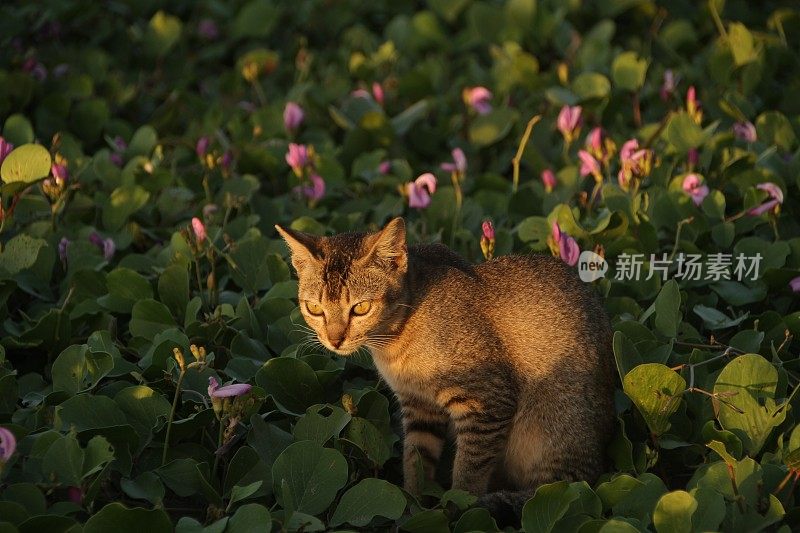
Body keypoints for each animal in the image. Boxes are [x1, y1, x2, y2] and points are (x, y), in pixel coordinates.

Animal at [276, 217, 612, 524]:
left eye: (360, 308)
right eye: (314, 309)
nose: (335, 340)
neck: (397, 342)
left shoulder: (487, 403)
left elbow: (468, 474)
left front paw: (457, 513)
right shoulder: (419, 407)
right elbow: (415, 461)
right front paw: (412, 510)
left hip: (555, 437)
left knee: (556, 485)